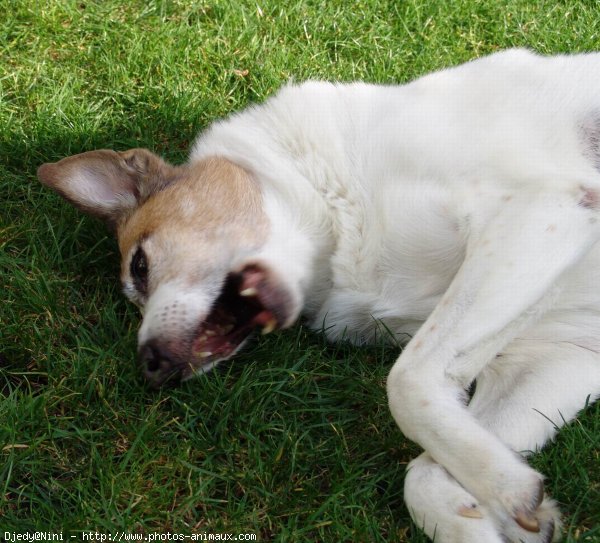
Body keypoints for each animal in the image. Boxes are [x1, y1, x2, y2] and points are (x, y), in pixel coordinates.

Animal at [37, 49, 600, 540]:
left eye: (140, 266)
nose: (150, 365)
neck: (341, 209)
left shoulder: (538, 209)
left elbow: (406, 384)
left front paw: (503, 490)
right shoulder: (560, 357)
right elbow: (423, 467)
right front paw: (499, 506)